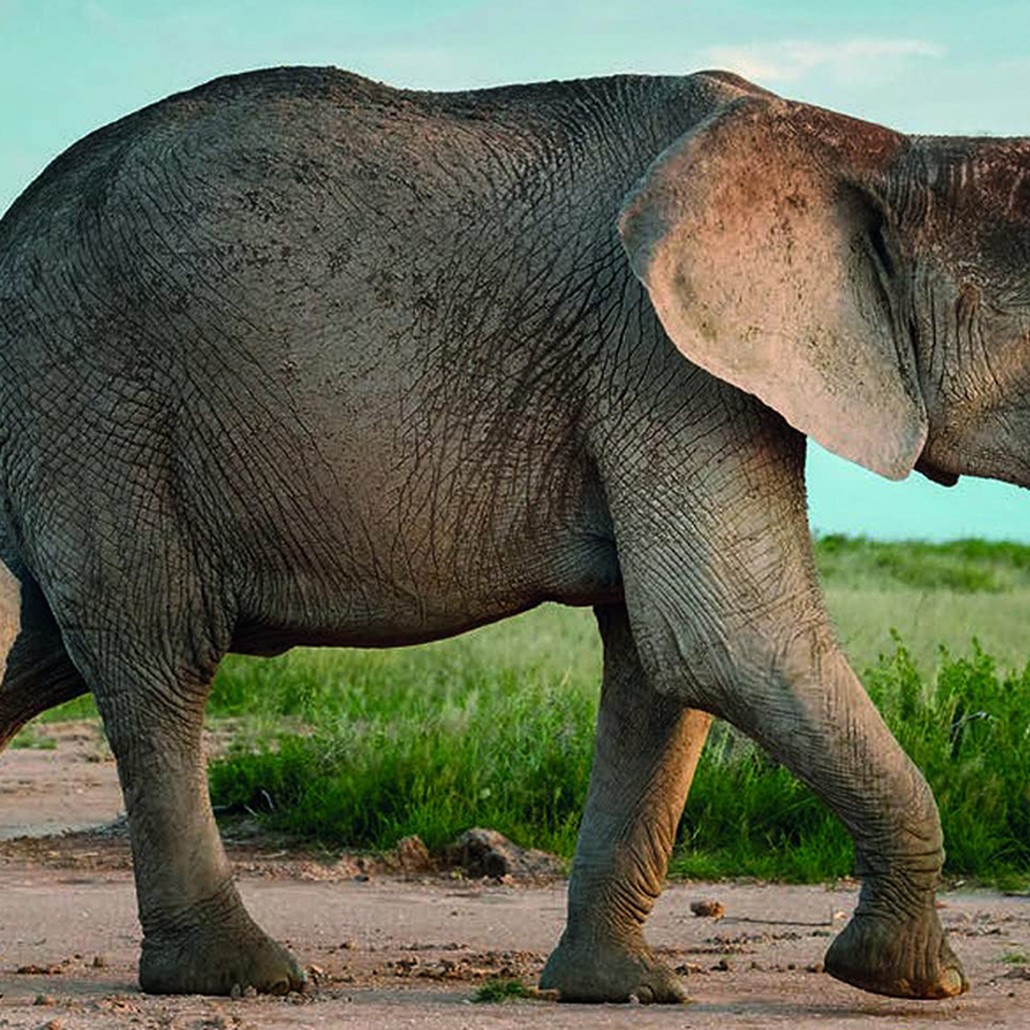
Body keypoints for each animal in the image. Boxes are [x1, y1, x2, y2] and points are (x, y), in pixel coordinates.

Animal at [1, 62, 1024, 1003]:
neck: (879, 150)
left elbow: (659, 666)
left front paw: (616, 990)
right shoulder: (659, 356)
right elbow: (727, 639)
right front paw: (915, 982)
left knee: (43, 654)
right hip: (95, 401)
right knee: (158, 654)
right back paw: (240, 977)